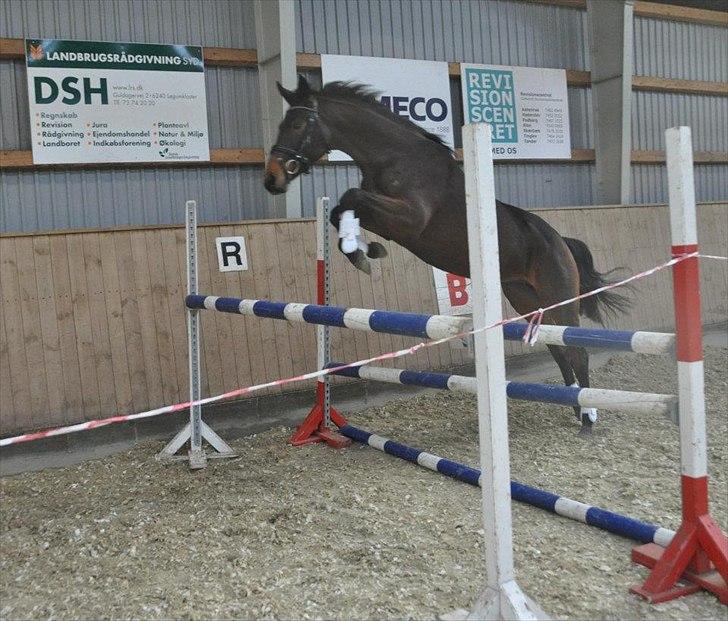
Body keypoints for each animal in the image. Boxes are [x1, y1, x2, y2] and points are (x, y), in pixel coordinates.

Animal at [264, 74, 628, 432]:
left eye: (297, 124)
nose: (272, 179)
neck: (396, 157)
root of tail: (561, 241)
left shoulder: (409, 219)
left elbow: (350, 197)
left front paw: (362, 253)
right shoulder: (385, 218)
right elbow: (341, 209)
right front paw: (363, 251)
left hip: (559, 296)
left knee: (577, 350)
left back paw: (588, 418)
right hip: (525, 299)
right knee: (558, 348)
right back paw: (575, 407)